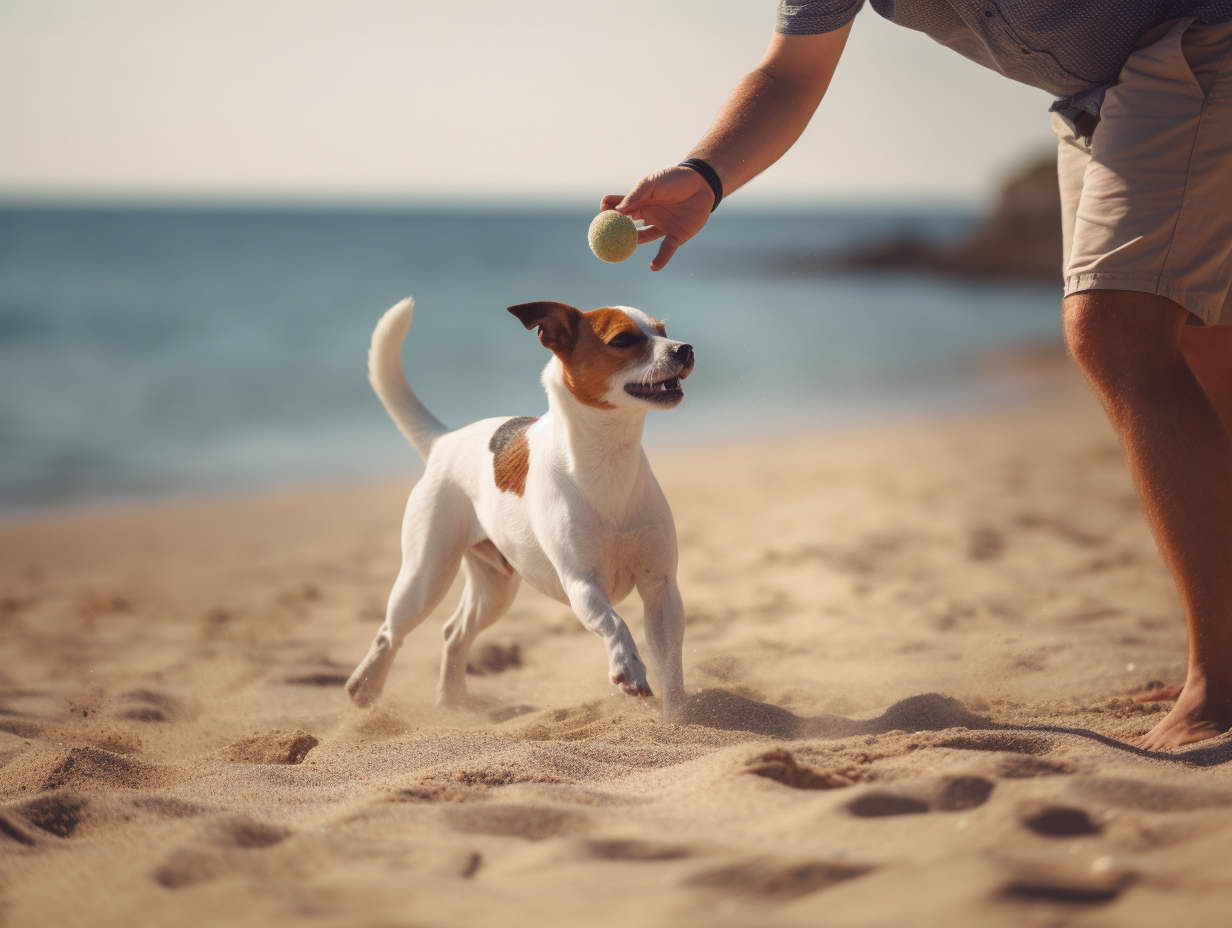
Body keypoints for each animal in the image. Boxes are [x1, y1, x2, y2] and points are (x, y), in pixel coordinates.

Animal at [344, 297, 694, 714]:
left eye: (662, 330)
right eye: (623, 340)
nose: (685, 348)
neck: (609, 458)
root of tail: (444, 439)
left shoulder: (661, 587)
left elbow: (670, 657)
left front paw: (677, 715)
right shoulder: (582, 584)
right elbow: (613, 622)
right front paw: (628, 667)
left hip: (494, 588)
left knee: (454, 632)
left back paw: (452, 702)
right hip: (425, 577)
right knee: (390, 633)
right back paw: (365, 688)